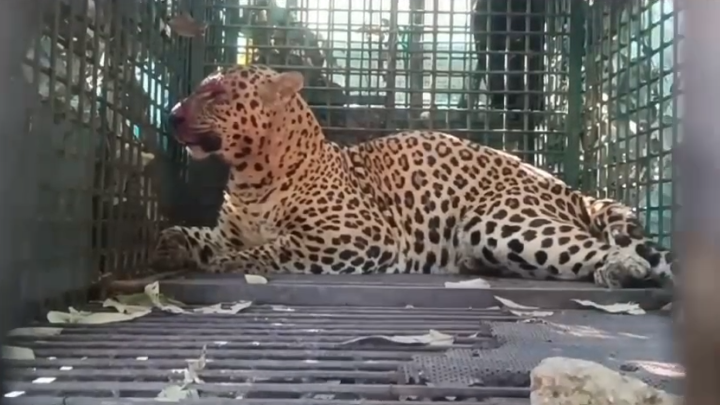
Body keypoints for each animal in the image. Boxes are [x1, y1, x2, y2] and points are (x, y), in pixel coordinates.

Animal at [150, 64, 675, 289]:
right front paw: (171, 243)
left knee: (610, 251)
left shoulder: (357, 237)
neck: (250, 175)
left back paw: (624, 269)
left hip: (498, 220)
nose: (171, 115)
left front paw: (229, 263)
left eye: (216, 92)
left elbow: (273, 248)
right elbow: (203, 236)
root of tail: (566, 188)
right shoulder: (228, 228)